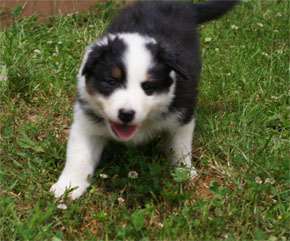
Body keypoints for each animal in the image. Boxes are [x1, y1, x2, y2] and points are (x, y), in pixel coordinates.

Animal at [50, 0, 240, 200]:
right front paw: (68, 186)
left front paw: (184, 172)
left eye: (148, 87)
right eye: (111, 82)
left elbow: (180, 146)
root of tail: (180, 4)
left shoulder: (182, 113)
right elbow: (79, 155)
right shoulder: (86, 119)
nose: (126, 114)